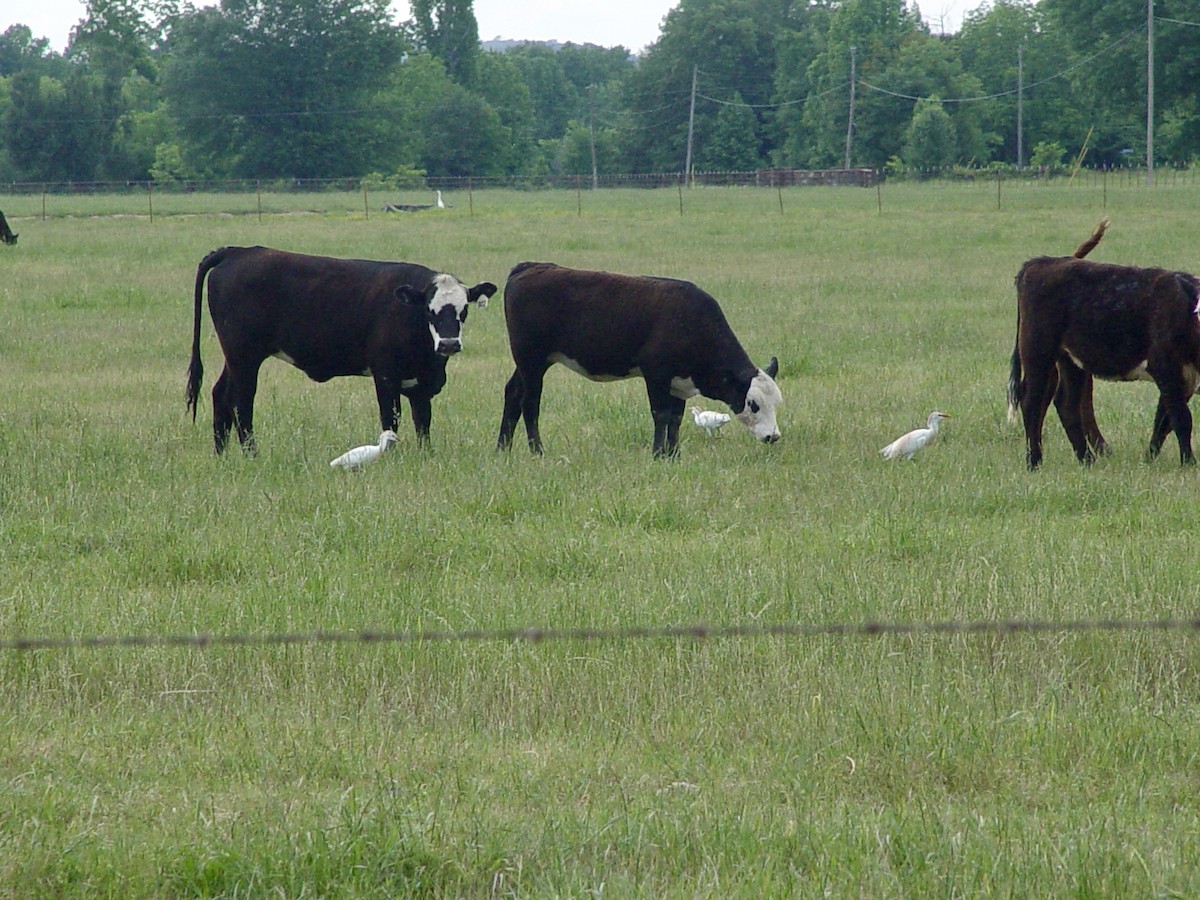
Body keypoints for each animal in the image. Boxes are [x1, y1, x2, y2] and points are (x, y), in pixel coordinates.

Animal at [184, 247, 494, 453]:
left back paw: (222, 454)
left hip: (236, 358)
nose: (449, 343)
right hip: (244, 356)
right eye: (430, 311)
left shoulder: (420, 384)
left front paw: (425, 455)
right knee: (241, 400)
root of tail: (238, 251)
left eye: (463, 310)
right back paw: (252, 454)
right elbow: (390, 419)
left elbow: (423, 423)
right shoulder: (386, 376)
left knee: (221, 394)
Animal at [494, 260, 782, 458]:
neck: (689, 320)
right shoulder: (656, 374)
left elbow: (675, 418)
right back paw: (537, 451)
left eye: (776, 403)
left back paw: (503, 448)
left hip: (530, 363)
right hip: (531, 360)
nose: (773, 436)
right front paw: (658, 454)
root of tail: (529, 267)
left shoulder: (678, 383)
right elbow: (660, 414)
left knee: (513, 394)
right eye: (753, 404)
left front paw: (673, 454)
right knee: (529, 403)